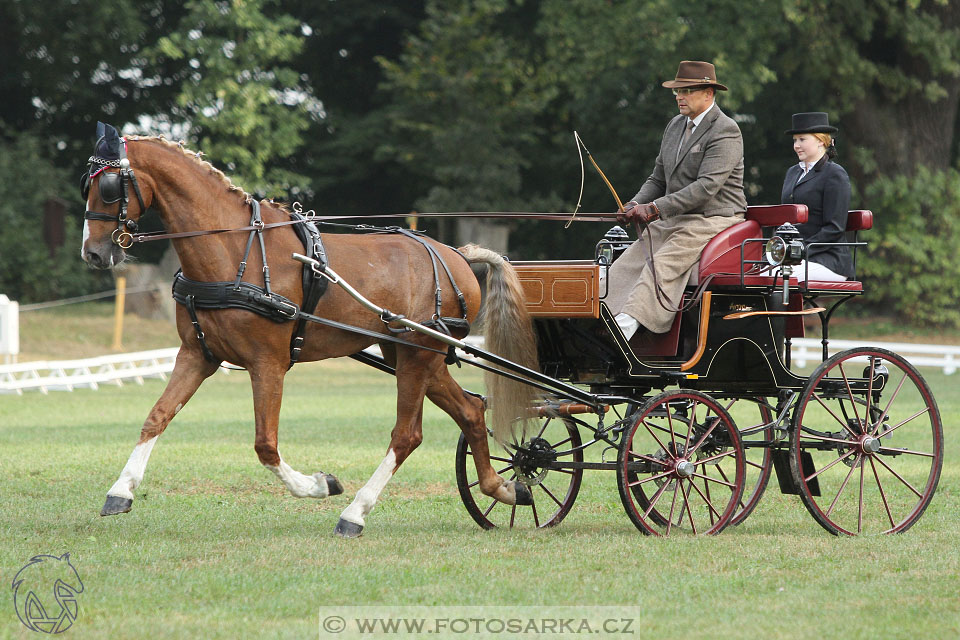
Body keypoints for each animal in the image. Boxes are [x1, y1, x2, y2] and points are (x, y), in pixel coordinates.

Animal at [79, 122, 536, 536]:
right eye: (87, 184)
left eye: (109, 188)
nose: (94, 253)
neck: (236, 250)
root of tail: (456, 254)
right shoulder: (198, 354)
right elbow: (156, 417)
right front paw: (121, 491)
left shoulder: (268, 364)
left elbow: (265, 444)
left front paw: (320, 485)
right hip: (414, 355)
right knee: (471, 410)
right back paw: (503, 488)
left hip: (418, 355)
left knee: (407, 434)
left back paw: (354, 513)